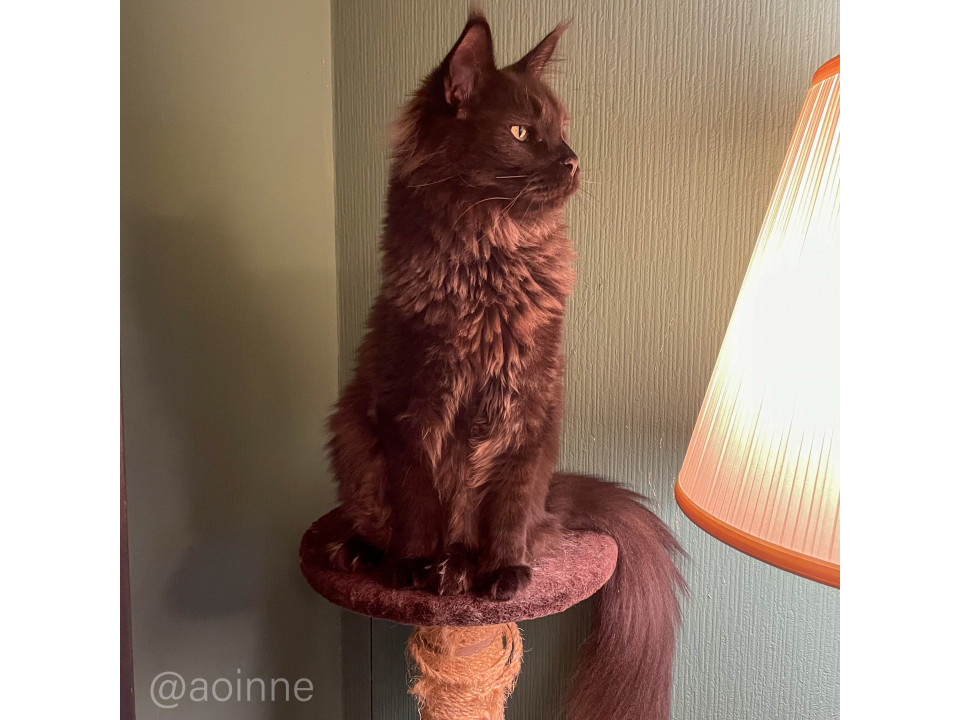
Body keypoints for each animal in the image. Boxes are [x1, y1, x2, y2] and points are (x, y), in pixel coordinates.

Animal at [319, 12, 686, 720]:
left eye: (562, 128)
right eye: (520, 133)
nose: (572, 159)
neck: (490, 265)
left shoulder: (528, 408)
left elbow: (507, 508)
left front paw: (503, 573)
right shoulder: (411, 406)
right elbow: (418, 502)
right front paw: (411, 570)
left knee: (507, 520)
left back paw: (463, 567)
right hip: (351, 430)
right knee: (376, 514)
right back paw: (372, 553)